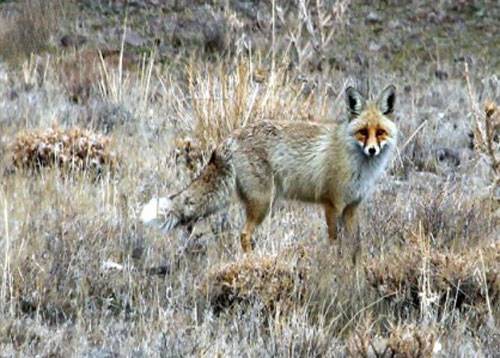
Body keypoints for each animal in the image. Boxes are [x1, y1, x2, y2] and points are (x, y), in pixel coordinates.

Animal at [142, 85, 398, 256]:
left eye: (380, 132)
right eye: (363, 132)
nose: (372, 150)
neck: (358, 166)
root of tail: (229, 139)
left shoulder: (352, 207)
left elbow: (356, 247)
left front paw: (354, 273)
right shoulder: (331, 205)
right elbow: (335, 244)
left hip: (264, 202)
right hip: (263, 203)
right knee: (244, 235)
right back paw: (252, 262)